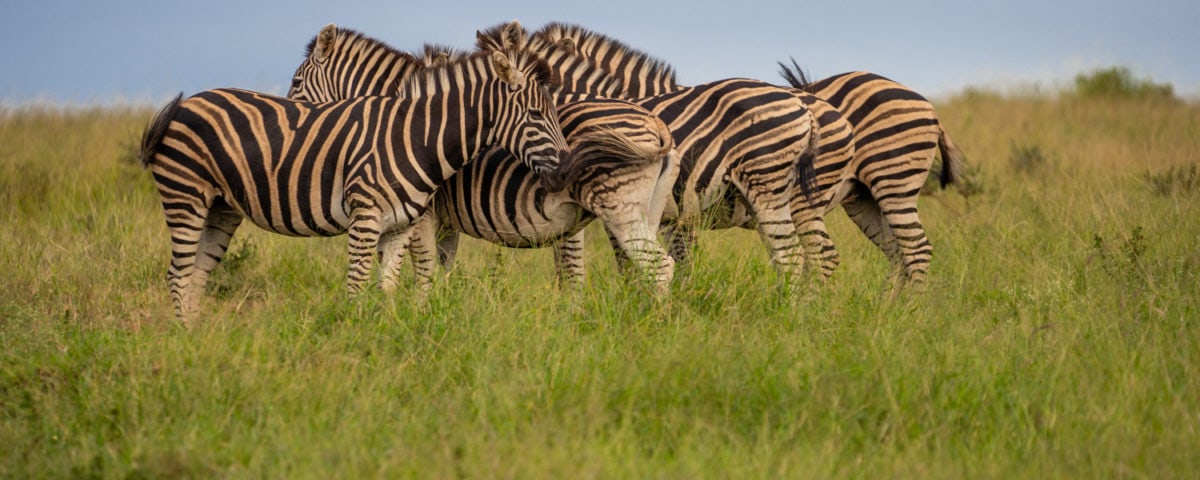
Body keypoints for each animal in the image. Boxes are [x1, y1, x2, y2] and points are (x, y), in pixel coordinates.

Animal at [139, 48, 571, 321]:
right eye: (535, 115)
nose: (567, 170)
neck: (416, 138)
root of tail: (183, 104)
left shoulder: (401, 225)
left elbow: (387, 286)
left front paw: (386, 333)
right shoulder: (365, 217)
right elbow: (357, 284)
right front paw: (354, 334)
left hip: (221, 208)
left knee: (197, 273)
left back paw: (198, 337)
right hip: (185, 197)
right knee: (177, 274)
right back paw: (182, 340)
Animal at [287, 25, 681, 293]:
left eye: (295, 85)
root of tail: (657, 124)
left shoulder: (423, 213)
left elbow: (419, 268)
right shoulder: (443, 221)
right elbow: (441, 266)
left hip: (617, 207)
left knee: (656, 266)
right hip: (645, 211)